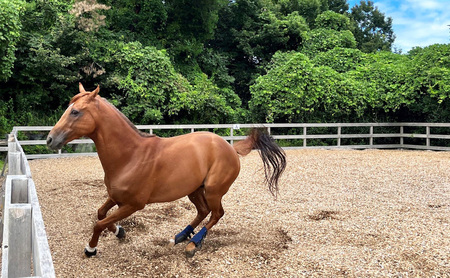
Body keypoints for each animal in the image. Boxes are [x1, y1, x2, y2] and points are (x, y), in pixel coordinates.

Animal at [47, 83, 286, 258]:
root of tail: (230, 147)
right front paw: (119, 232)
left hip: (213, 190)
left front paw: (91, 248)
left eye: (75, 112)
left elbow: (98, 223)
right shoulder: (116, 197)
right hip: (194, 189)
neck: (130, 156)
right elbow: (101, 214)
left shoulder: (133, 204)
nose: (50, 139)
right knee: (203, 211)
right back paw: (180, 236)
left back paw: (193, 243)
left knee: (216, 214)